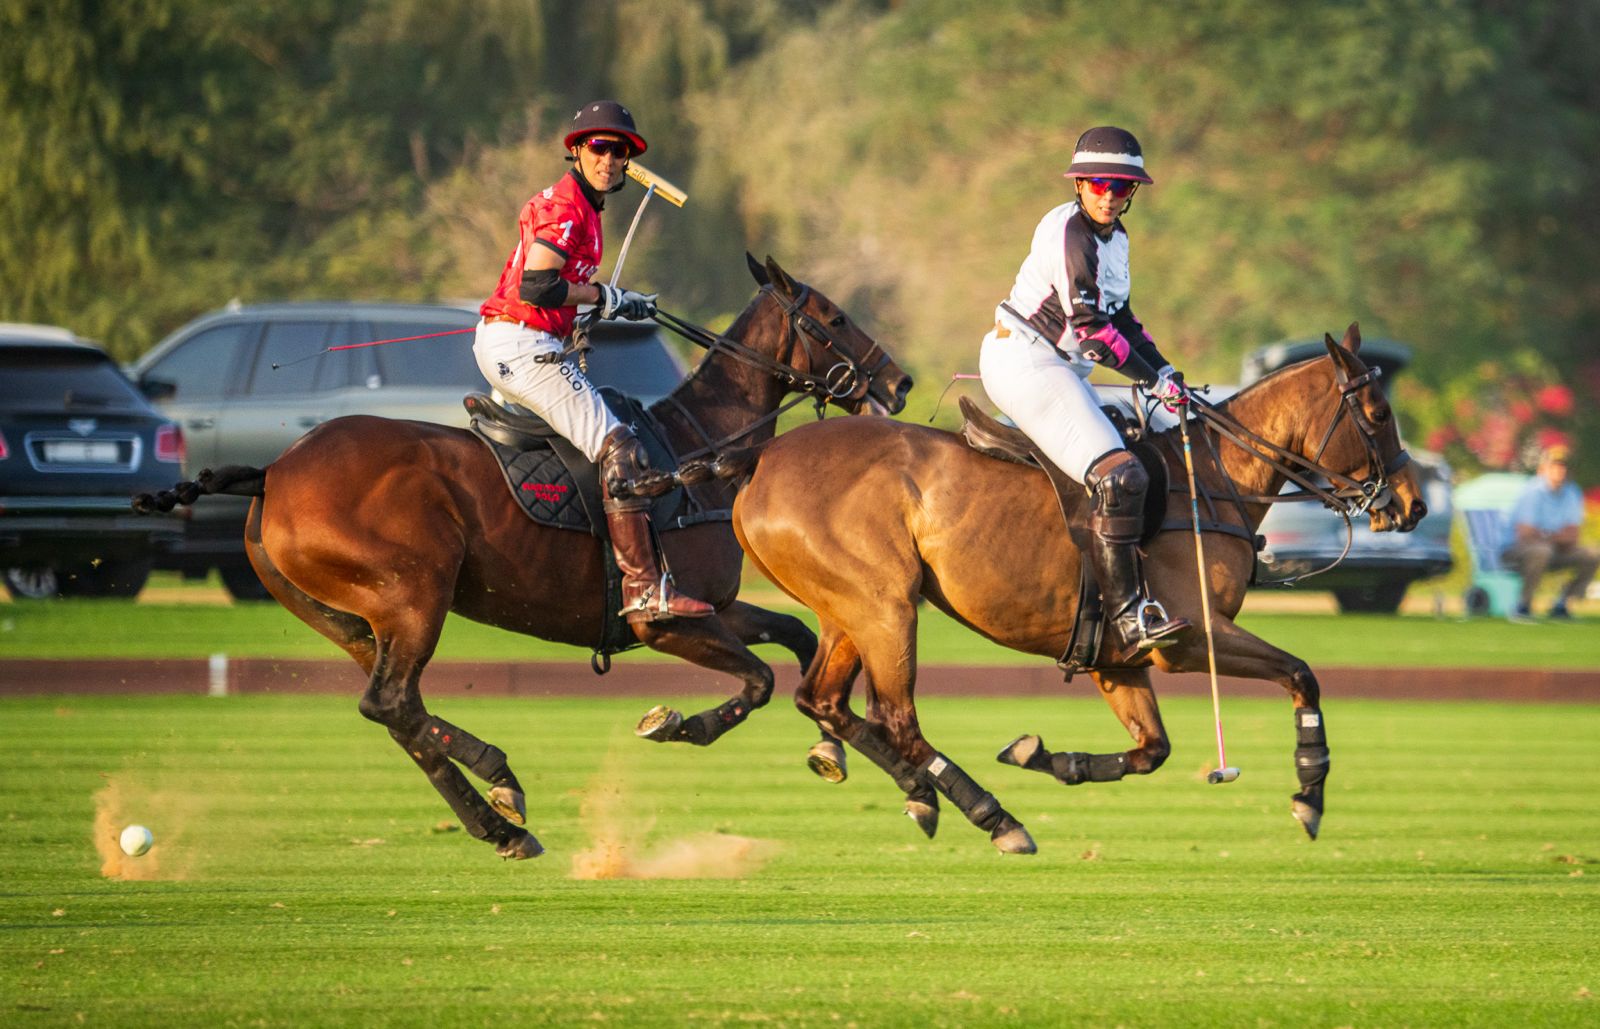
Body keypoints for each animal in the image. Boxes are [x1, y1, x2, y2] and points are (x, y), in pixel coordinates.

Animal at [134, 259, 915, 864]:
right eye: (834, 316)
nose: (901, 383)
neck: (697, 447)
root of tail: (272, 473)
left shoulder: (715, 606)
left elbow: (801, 637)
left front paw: (840, 752)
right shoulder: (665, 621)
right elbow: (757, 680)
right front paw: (675, 724)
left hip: (352, 618)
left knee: (400, 710)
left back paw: (500, 806)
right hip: (413, 595)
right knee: (390, 702)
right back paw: (498, 793)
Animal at [726, 326, 1427, 857]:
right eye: (1379, 415)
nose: (1412, 505)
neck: (1213, 480)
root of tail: (760, 465)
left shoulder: (1118, 661)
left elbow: (1151, 749)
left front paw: (1046, 757)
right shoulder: (1189, 636)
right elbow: (1301, 672)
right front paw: (1309, 793)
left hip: (847, 609)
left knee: (824, 700)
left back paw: (922, 796)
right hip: (885, 606)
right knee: (894, 716)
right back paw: (994, 817)